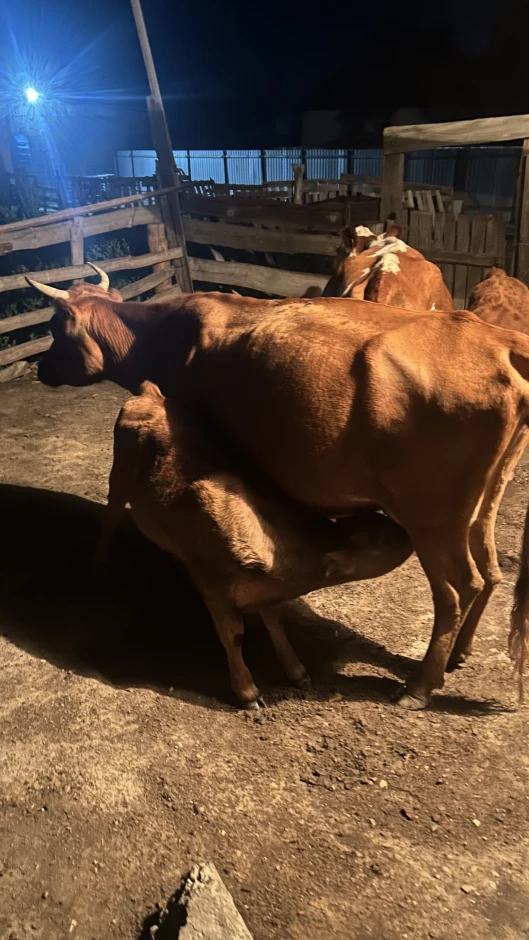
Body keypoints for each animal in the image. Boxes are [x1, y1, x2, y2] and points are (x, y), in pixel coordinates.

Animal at [97, 380, 412, 707]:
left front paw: (297, 671)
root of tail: (151, 394)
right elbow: (233, 634)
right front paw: (247, 691)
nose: (408, 534)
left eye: (381, 521)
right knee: (109, 518)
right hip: (118, 480)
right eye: (383, 539)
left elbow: (275, 622)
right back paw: (101, 563)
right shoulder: (214, 587)